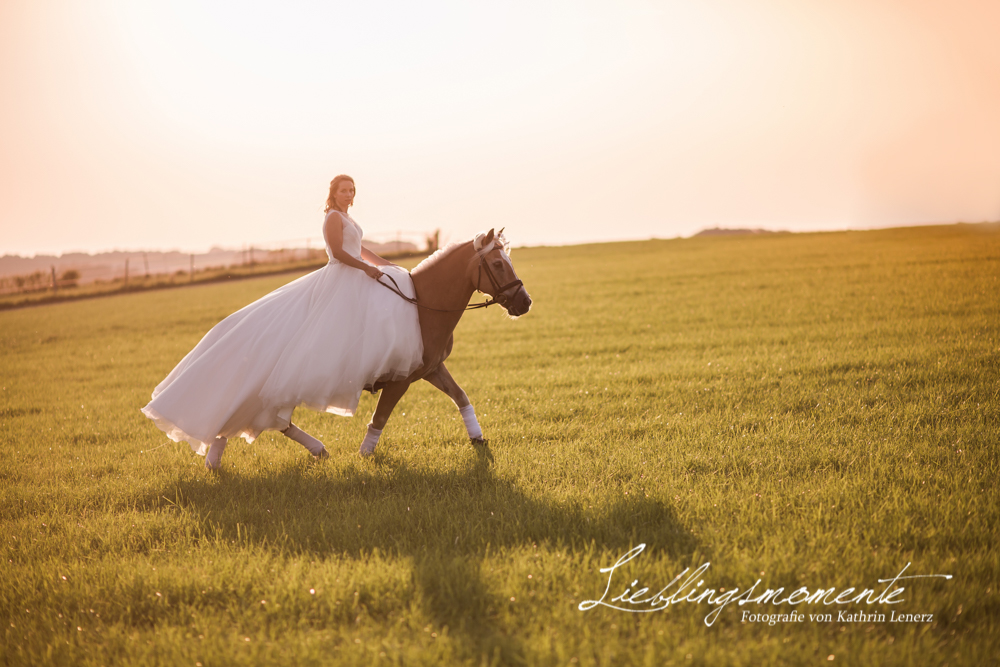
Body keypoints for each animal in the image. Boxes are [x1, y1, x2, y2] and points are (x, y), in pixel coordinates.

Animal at [282, 228, 532, 460]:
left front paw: (477, 437)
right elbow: (380, 417)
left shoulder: (431, 369)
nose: (525, 302)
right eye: (498, 263)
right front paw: (365, 454)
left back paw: (319, 450)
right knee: (280, 421)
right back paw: (319, 449)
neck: (422, 307)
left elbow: (460, 396)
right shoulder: (399, 379)